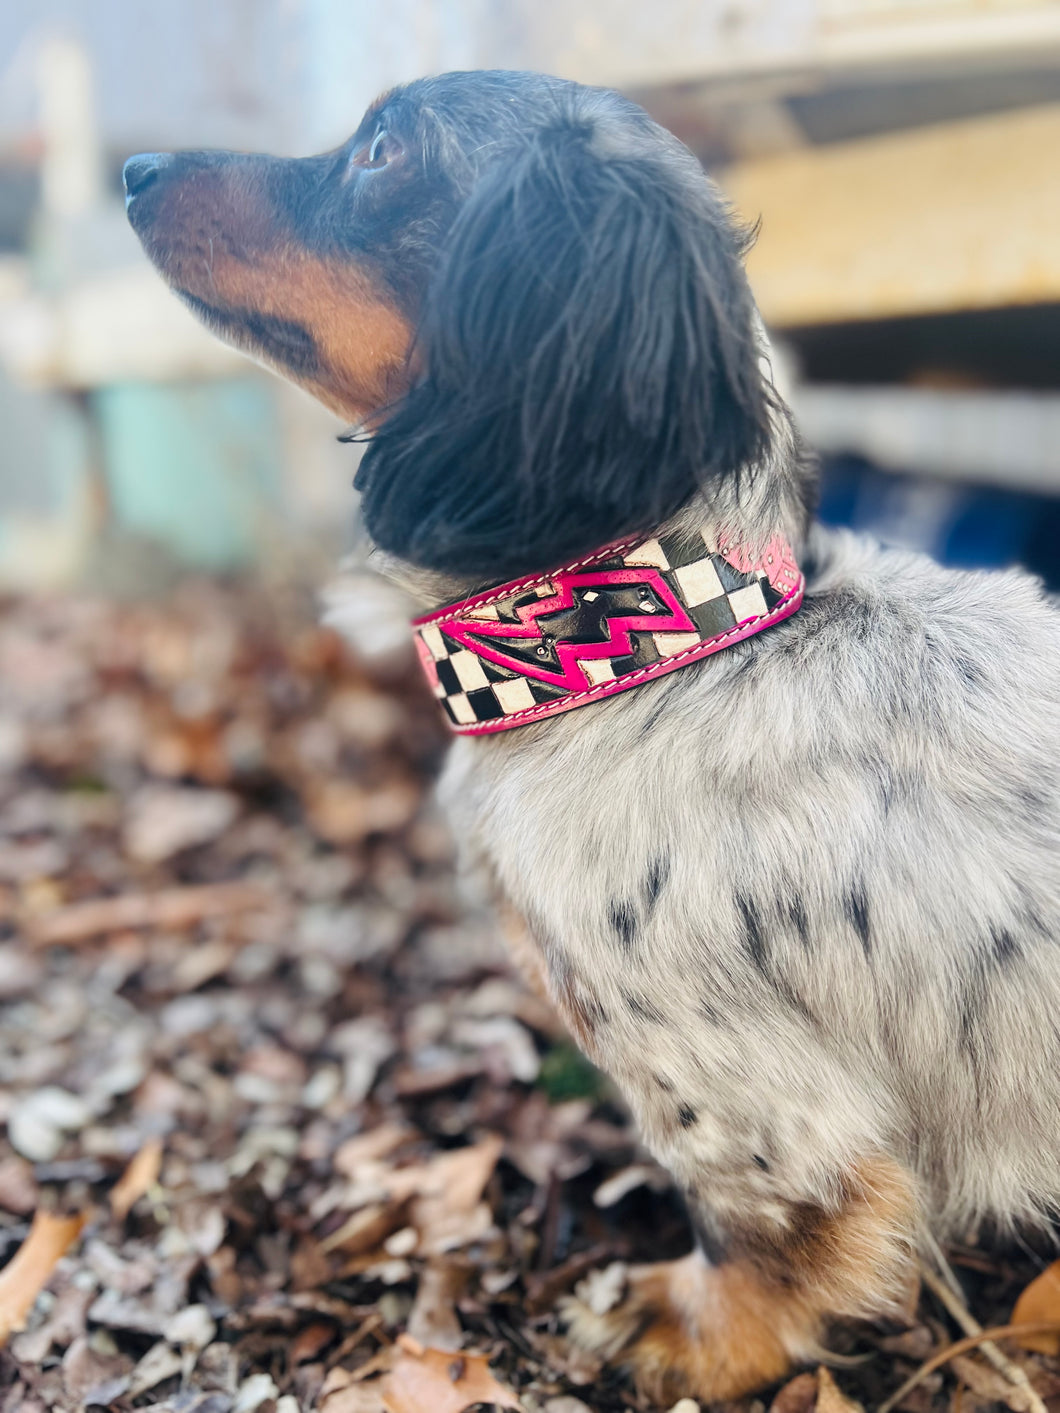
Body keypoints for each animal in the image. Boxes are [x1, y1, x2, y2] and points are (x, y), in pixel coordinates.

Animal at [126, 71, 1060, 1407]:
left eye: (382, 149)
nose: (134, 170)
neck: (666, 644)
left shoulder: (737, 1086)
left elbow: (763, 1227)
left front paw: (692, 1332)